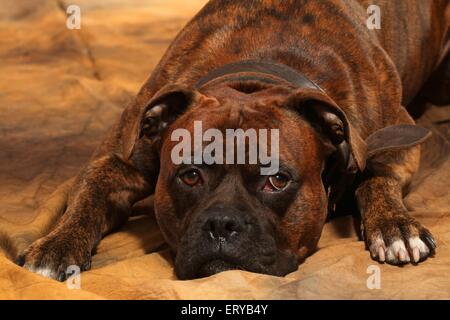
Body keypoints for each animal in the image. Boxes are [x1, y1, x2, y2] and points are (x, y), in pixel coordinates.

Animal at [16, 0, 446, 280]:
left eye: (277, 180)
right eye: (189, 175)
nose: (222, 224)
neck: (255, 77)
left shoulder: (399, 133)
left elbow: (378, 176)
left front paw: (395, 227)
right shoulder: (118, 158)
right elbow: (88, 194)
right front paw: (57, 245)